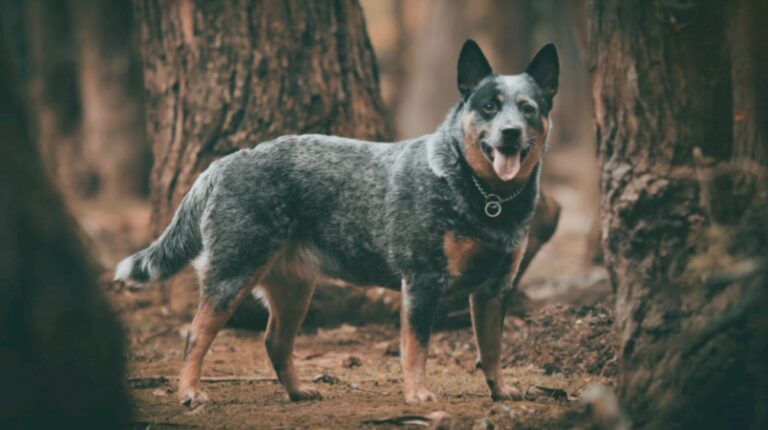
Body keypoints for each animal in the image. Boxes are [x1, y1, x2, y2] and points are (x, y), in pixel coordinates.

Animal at [114, 38, 560, 404]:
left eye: (528, 108)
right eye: (489, 106)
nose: (509, 132)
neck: (485, 197)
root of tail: (224, 162)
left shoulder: (494, 289)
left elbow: (492, 349)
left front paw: (501, 391)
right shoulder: (423, 279)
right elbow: (416, 347)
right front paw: (418, 395)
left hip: (295, 287)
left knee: (275, 341)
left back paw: (298, 392)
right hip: (232, 274)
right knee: (197, 334)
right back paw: (190, 393)